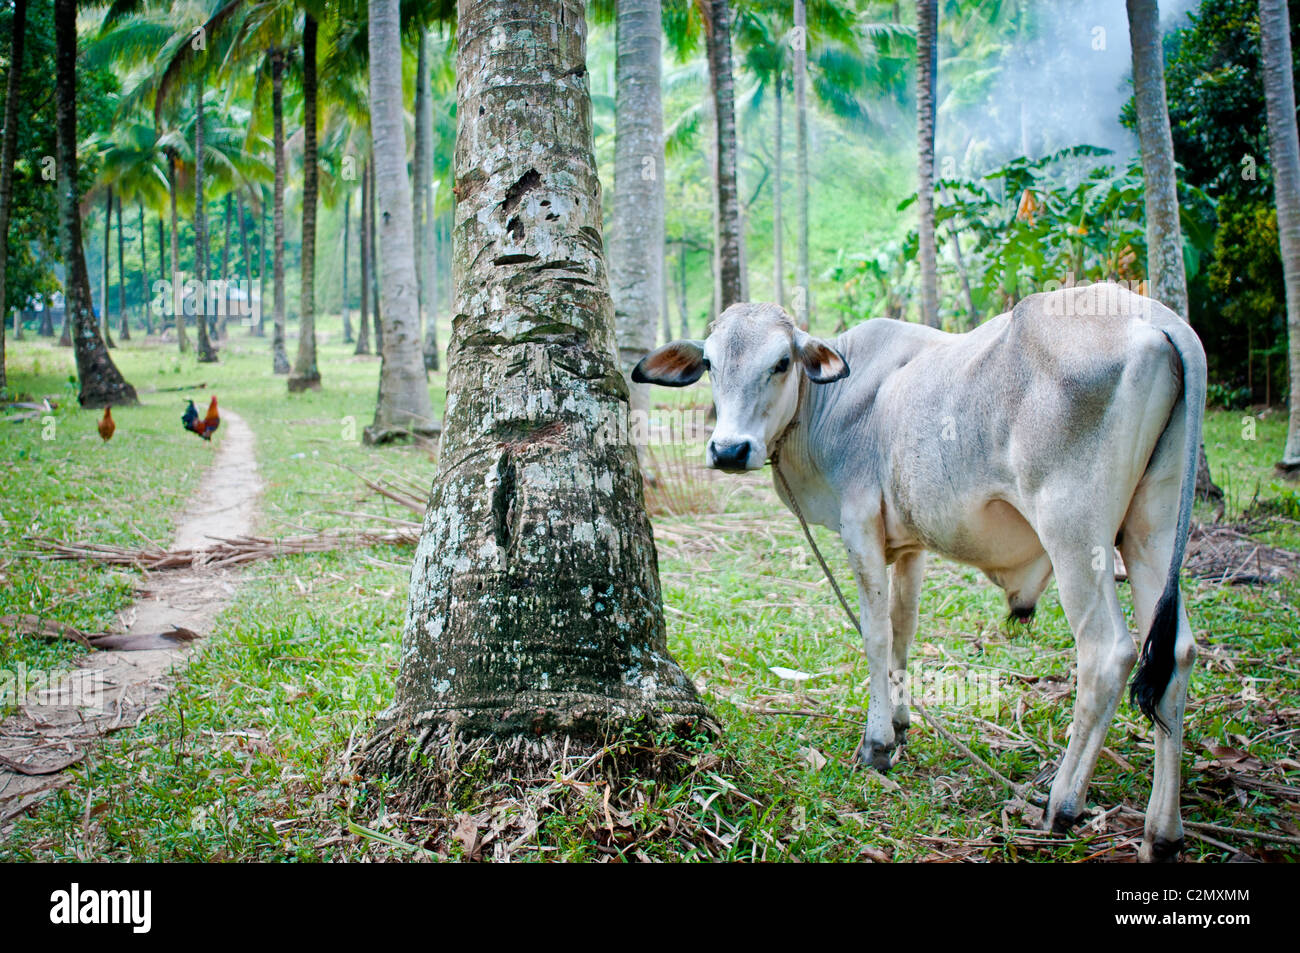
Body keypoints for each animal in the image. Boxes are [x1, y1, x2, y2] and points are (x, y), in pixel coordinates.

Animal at [632, 283, 1206, 863]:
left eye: (781, 362)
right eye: (709, 362)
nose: (729, 450)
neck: (829, 403)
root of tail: (1156, 317)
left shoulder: (860, 526)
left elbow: (877, 634)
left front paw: (878, 743)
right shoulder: (910, 546)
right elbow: (904, 629)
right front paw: (902, 722)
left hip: (1075, 532)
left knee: (1107, 654)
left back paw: (1061, 804)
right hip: (1150, 530)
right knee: (1176, 654)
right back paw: (1162, 832)